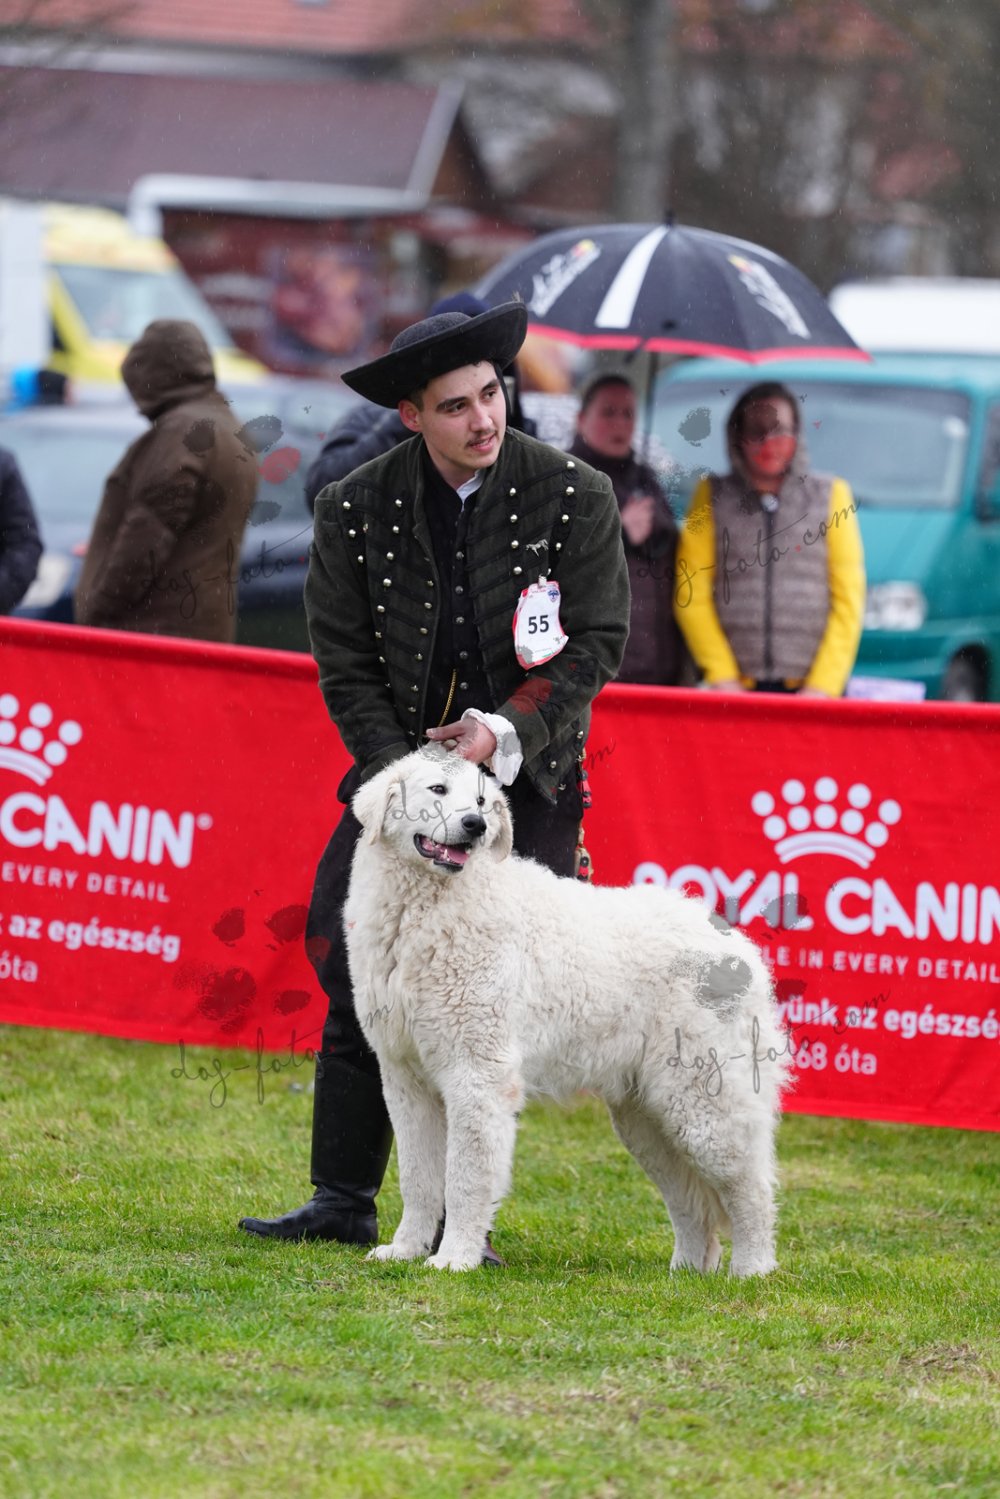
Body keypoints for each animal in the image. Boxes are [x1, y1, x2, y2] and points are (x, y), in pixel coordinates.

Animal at [345, 749, 791, 1275]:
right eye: (438, 790)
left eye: (481, 800)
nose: (475, 825)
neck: (427, 909)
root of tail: (736, 944)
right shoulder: (406, 1079)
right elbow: (417, 1178)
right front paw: (405, 1250)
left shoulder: (478, 1076)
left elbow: (465, 1181)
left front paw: (454, 1258)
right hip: (647, 1118)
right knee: (691, 1203)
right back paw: (685, 1273)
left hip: (705, 1108)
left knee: (751, 1190)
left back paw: (751, 1269)